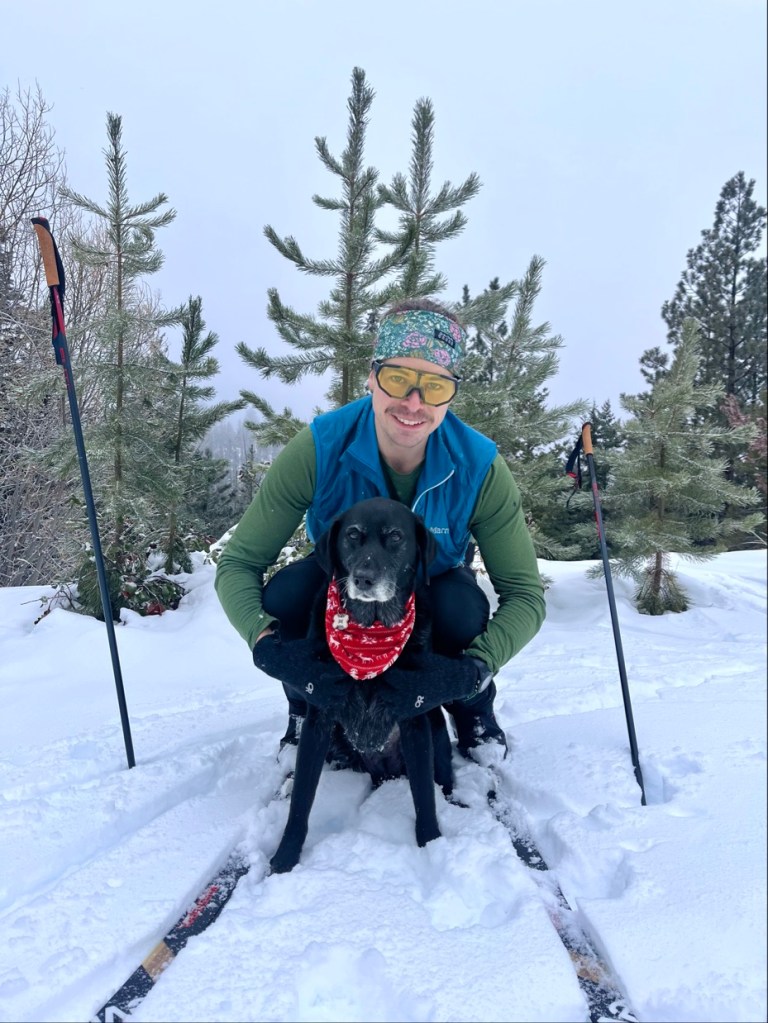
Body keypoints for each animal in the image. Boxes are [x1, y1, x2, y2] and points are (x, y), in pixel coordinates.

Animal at [269, 497, 455, 874]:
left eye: (396, 536)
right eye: (353, 535)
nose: (364, 579)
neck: (371, 631)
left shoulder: (414, 720)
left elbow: (424, 797)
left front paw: (431, 843)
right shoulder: (318, 720)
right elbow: (301, 803)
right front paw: (285, 857)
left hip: (436, 730)